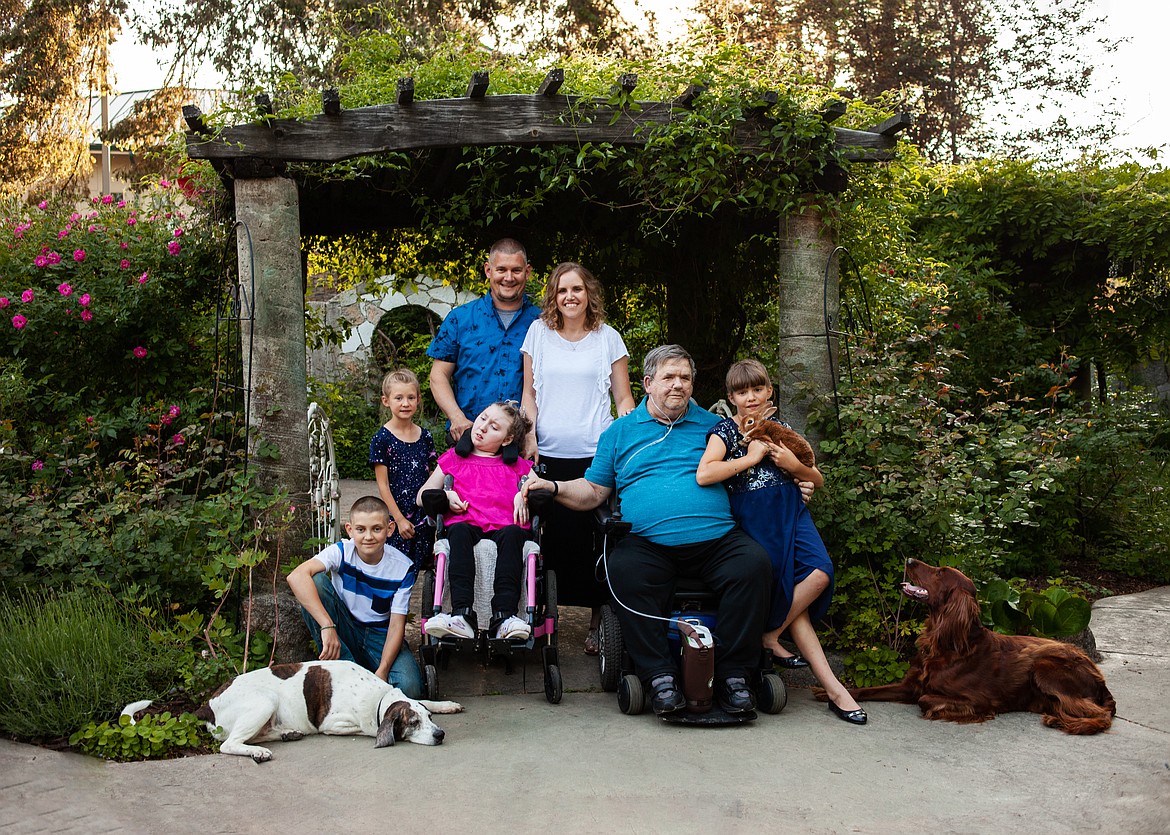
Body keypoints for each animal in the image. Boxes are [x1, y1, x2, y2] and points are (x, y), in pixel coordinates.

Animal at [123, 659, 460, 757]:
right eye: (412, 723)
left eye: (427, 718)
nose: (440, 735)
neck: (379, 696)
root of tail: (206, 705)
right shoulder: (333, 724)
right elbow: (366, 728)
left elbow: (427, 698)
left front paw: (446, 704)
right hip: (263, 701)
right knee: (229, 744)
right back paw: (259, 752)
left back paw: (285, 734)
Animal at [823, 556, 1113, 729]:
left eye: (940, 572)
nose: (909, 559)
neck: (944, 643)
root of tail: (1099, 677)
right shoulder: (908, 685)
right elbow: (866, 690)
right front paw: (827, 693)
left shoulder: (981, 701)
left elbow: (925, 699)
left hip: (1045, 667)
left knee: (1100, 715)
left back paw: (1058, 719)